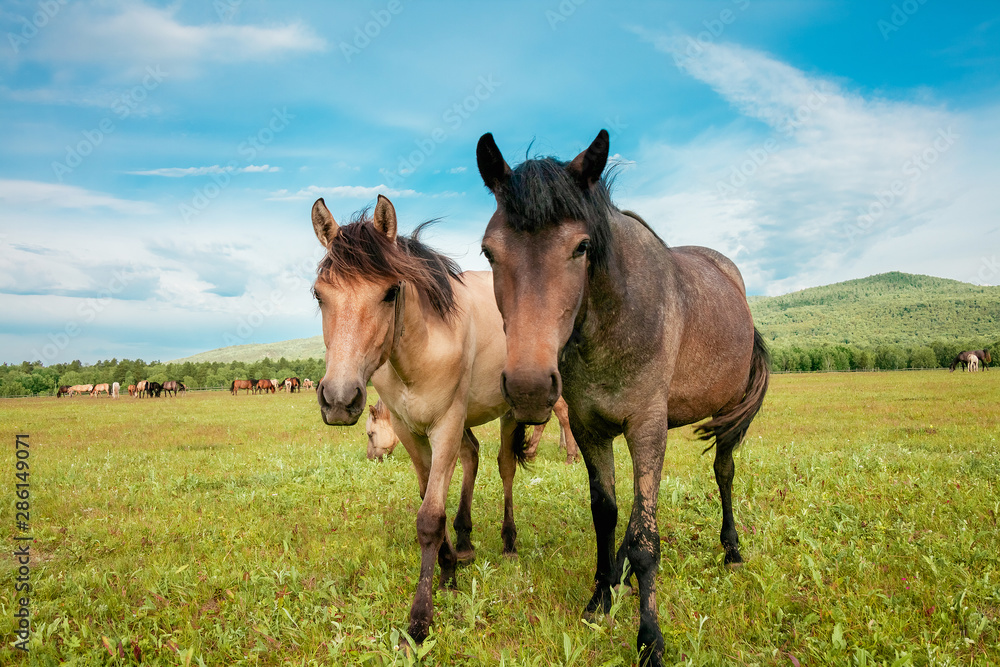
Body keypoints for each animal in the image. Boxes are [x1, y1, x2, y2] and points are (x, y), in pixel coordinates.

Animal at [312, 195, 540, 644]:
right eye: (318, 295)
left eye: (390, 292)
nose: (339, 399)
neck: (419, 352)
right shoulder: (409, 430)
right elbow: (427, 496)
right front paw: (450, 564)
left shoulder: (446, 424)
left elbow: (430, 517)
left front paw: (420, 618)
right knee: (473, 457)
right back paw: (466, 540)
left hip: (510, 411)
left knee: (505, 466)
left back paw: (508, 540)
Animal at [477, 130, 770, 666]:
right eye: (489, 252)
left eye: (582, 247)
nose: (530, 387)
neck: (613, 322)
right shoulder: (592, 430)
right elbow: (609, 515)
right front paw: (600, 596)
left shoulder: (646, 427)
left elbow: (645, 540)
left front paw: (650, 636)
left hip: (723, 417)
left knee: (723, 473)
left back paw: (732, 550)